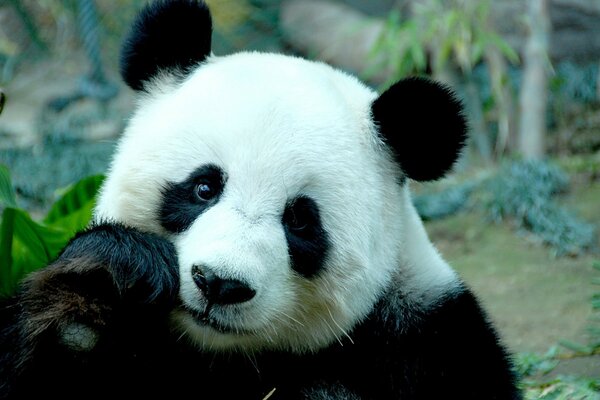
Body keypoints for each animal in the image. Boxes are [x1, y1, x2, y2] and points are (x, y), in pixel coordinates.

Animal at [0, 0, 520, 400]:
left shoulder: (427, 342)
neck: (222, 354)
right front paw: (107, 282)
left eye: (301, 221)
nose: (220, 284)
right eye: (204, 187)